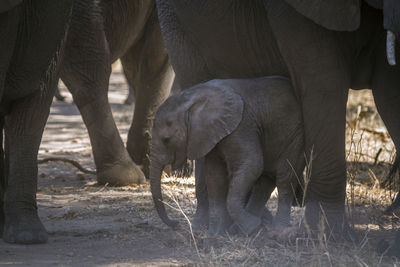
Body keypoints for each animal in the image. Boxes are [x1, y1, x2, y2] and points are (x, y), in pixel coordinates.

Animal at [149, 76, 304, 236]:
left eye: (166, 139)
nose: (176, 223)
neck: (193, 99)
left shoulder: (241, 125)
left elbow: (252, 164)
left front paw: (253, 227)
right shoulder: (211, 134)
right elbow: (214, 175)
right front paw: (214, 233)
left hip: (296, 136)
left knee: (286, 177)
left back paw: (276, 229)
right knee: (265, 182)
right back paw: (240, 229)